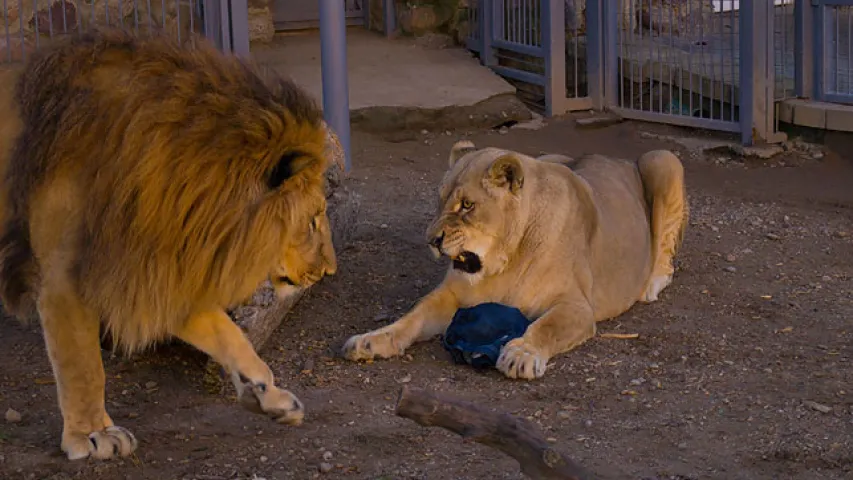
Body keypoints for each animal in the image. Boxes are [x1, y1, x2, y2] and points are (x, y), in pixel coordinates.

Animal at [0, 29, 338, 462]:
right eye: (313, 219)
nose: (329, 270)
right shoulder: (65, 278)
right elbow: (83, 366)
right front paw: (92, 434)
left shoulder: (161, 267)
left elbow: (230, 334)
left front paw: (269, 395)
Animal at [342, 141, 688, 380]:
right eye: (439, 201)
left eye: (467, 205)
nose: (432, 241)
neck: (503, 263)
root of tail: (615, 157)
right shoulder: (451, 295)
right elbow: (412, 317)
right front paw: (371, 341)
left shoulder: (577, 306)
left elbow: (546, 326)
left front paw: (521, 354)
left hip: (662, 159)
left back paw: (652, 282)